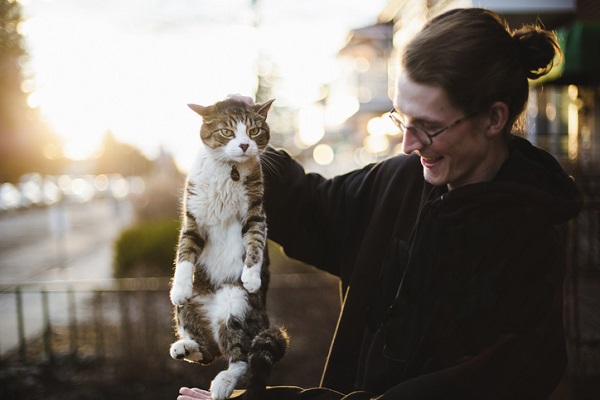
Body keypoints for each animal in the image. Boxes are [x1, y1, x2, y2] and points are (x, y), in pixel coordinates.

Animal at [169, 97, 290, 400]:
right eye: (227, 132)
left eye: (254, 130)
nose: (245, 145)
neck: (228, 169)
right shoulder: (193, 216)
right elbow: (184, 252)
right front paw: (179, 286)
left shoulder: (255, 212)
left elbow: (255, 242)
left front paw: (252, 276)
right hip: (188, 308)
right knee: (209, 351)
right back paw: (185, 347)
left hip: (236, 305)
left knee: (241, 358)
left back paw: (223, 382)